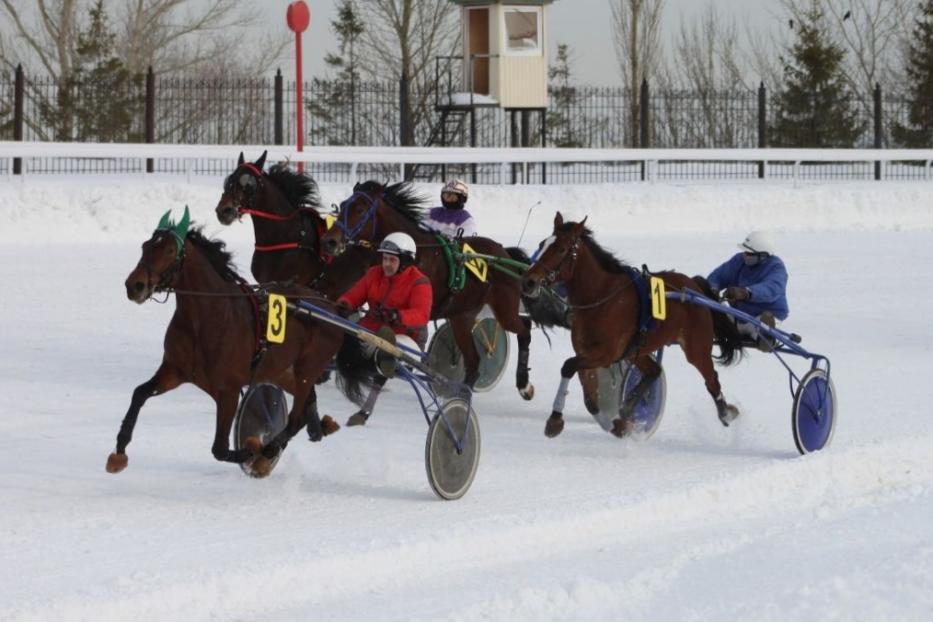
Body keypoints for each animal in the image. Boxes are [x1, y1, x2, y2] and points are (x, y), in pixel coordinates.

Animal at [105, 208, 360, 478]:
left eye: (170, 251)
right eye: (145, 246)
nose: (135, 285)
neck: (204, 318)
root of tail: (332, 309)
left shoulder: (227, 390)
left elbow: (219, 448)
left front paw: (253, 450)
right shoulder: (174, 371)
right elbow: (139, 394)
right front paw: (119, 451)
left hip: (307, 368)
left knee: (294, 418)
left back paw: (268, 452)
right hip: (280, 370)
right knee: (304, 407)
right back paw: (319, 426)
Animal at [524, 213, 744, 438]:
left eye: (561, 249)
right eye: (542, 244)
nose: (529, 281)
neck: (601, 297)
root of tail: (693, 286)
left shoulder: (606, 354)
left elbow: (568, 366)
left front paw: (555, 420)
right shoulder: (586, 352)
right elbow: (590, 401)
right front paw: (617, 424)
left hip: (696, 348)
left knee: (711, 379)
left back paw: (726, 413)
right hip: (637, 350)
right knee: (654, 371)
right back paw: (628, 408)